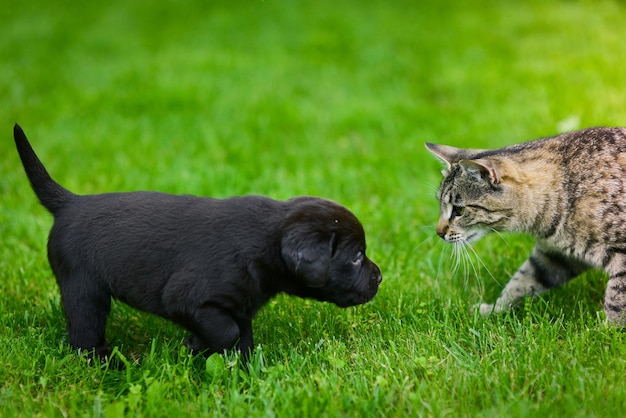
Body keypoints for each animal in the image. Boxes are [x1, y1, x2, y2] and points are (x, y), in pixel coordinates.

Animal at [14, 123, 380, 362]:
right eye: (356, 257)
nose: (379, 276)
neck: (266, 242)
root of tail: (69, 203)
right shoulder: (186, 298)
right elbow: (227, 331)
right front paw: (195, 346)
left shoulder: (240, 303)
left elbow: (242, 336)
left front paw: (242, 369)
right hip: (84, 289)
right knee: (84, 334)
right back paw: (106, 362)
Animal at [424, 129, 624, 324]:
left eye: (459, 210)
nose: (438, 232)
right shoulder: (554, 256)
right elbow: (521, 281)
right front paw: (494, 310)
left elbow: (616, 301)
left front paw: (607, 331)